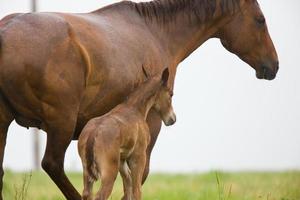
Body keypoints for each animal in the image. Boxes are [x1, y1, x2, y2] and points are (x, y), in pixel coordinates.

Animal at [78, 68, 176, 199]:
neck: (134, 109)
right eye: (171, 94)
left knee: (86, 193)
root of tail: (93, 134)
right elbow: (136, 190)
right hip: (109, 173)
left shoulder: (122, 161)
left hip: (87, 173)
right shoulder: (138, 157)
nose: (172, 119)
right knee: (101, 195)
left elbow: (128, 187)